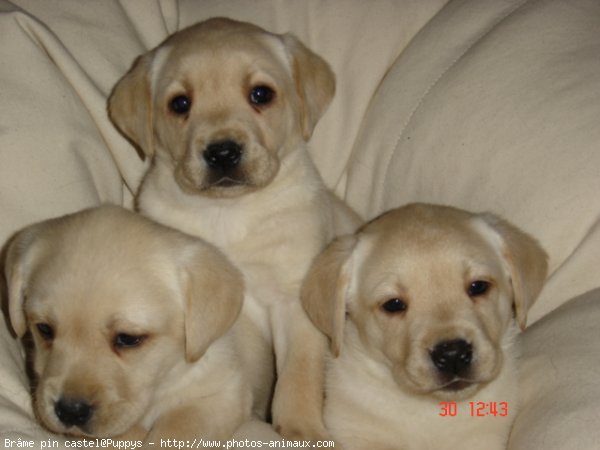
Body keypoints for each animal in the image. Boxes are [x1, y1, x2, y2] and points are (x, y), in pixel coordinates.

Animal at [107, 18, 358, 440]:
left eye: (260, 94)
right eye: (180, 103)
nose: (222, 152)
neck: (227, 212)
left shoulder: (294, 299)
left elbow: (299, 373)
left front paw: (301, 429)